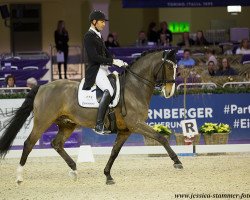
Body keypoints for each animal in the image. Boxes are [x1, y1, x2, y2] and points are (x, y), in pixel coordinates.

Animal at [0, 48, 184, 184]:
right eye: (169, 67)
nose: (169, 92)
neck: (134, 87)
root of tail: (42, 87)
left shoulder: (126, 130)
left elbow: (114, 152)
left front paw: (108, 175)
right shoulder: (136, 124)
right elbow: (161, 137)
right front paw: (177, 162)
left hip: (67, 124)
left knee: (56, 144)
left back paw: (74, 170)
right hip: (43, 121)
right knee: (29, 143)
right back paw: (19, 177)